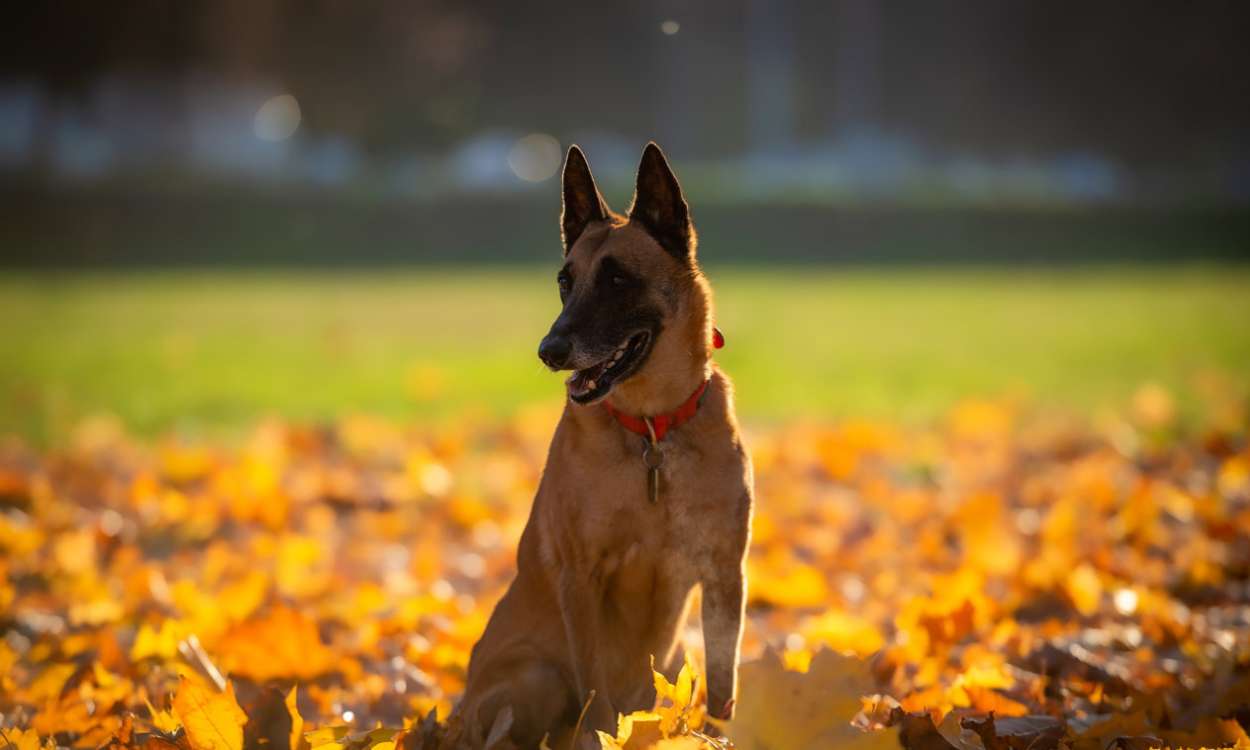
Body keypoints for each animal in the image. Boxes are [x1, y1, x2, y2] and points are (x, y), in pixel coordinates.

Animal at [450, 143, 755, 745]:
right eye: (565, 282)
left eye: (617, 280)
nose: (549, 350)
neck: (653, 430)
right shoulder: (582, 576)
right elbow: (595, 688)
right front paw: (600, 735)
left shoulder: (723, 574)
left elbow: (723, 684)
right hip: (536, 676)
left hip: (675, 655)